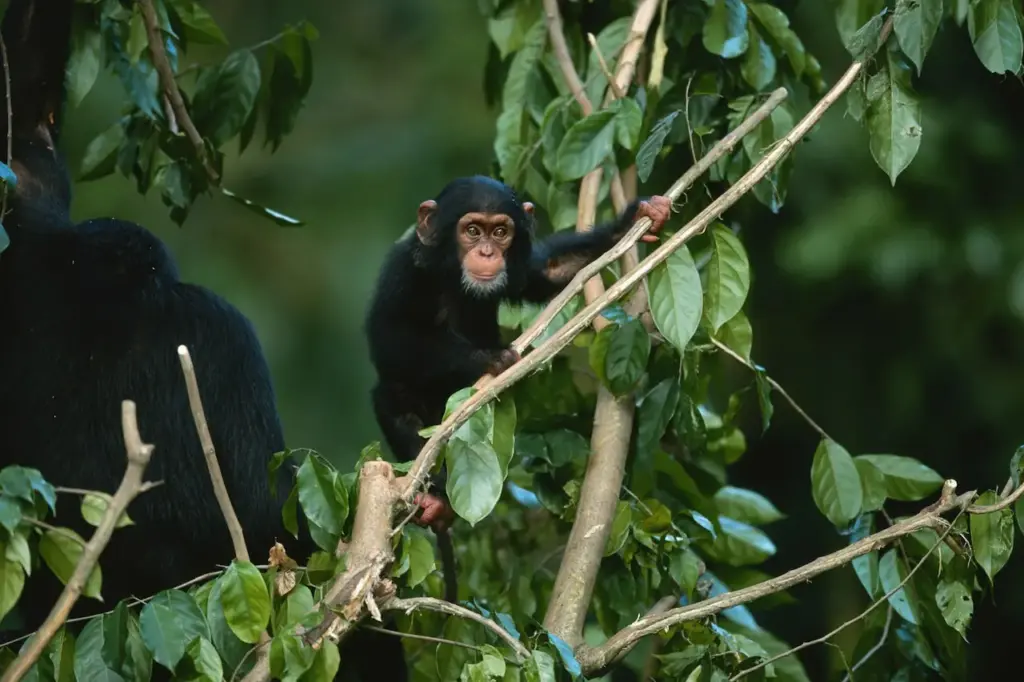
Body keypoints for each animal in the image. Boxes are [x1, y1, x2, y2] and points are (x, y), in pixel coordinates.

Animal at [366, 174, 671, 593]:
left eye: (500, 232)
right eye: (472, 230)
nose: (486, 251)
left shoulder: (522, 270)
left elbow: (547, 274)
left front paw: (638, 216)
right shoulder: (404, 273)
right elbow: (391, 336)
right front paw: (490, 358)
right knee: (394, 397)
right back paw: (433, 498)